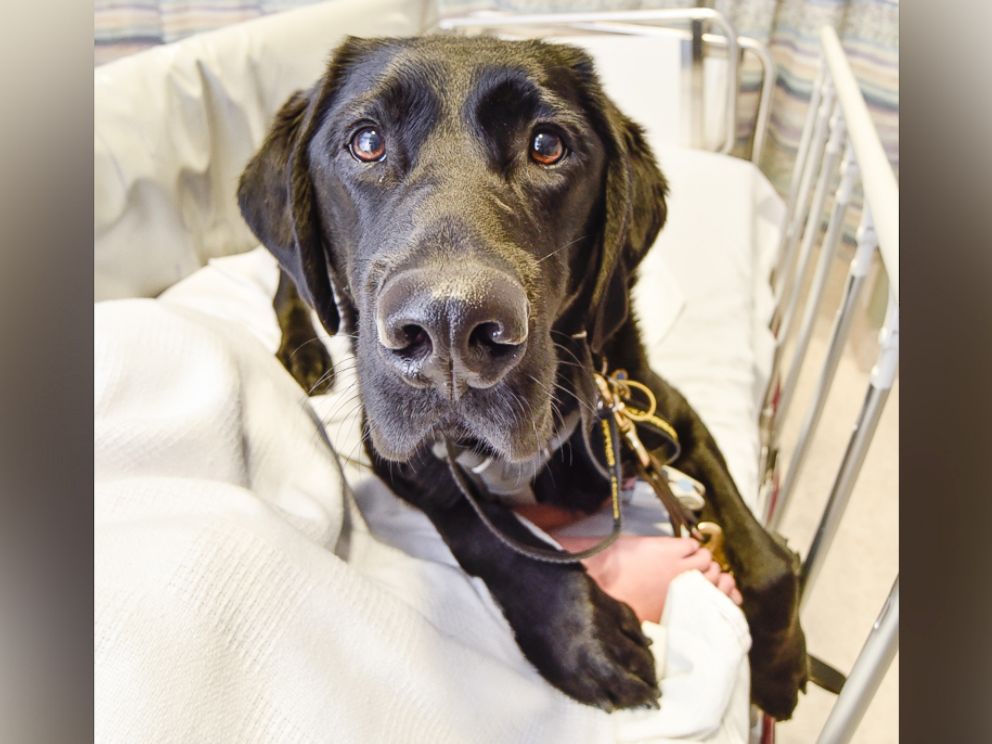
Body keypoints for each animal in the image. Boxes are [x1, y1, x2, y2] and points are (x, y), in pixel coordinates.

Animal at [238, 36, 808, 720]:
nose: (451, 326)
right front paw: (585, 636)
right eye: (367, 141)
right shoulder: (397, 453)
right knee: (289, 281)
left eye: (547, 145)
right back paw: (303, 352)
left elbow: (771, 562)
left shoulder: (649, 405)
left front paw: (779, 669)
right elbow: (493, 536)